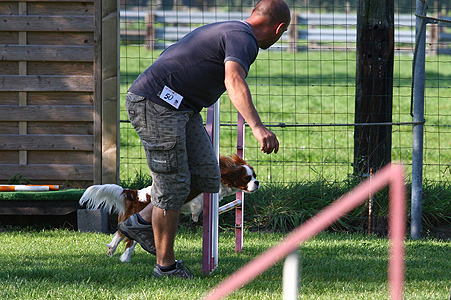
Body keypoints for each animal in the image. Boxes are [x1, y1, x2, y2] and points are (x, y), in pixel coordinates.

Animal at [79, 155, 260, 262]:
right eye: (247, 178)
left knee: (119, 233)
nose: (257, 183)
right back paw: (125, 258)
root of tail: (136, 193)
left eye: (255, 176)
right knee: (129, 240)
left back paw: (112, 250)